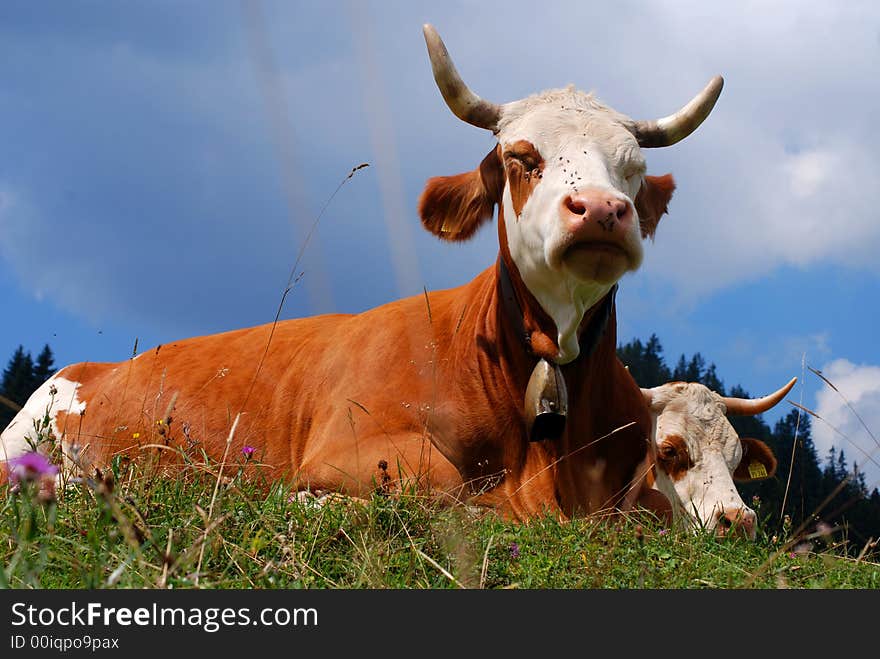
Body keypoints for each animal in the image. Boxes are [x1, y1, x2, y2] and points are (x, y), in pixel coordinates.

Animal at [0, 23, 720, 524]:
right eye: (521, 157)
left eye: (631, 169)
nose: (601, 210)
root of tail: (92, 365)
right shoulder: (348, 447)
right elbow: (442, 488)